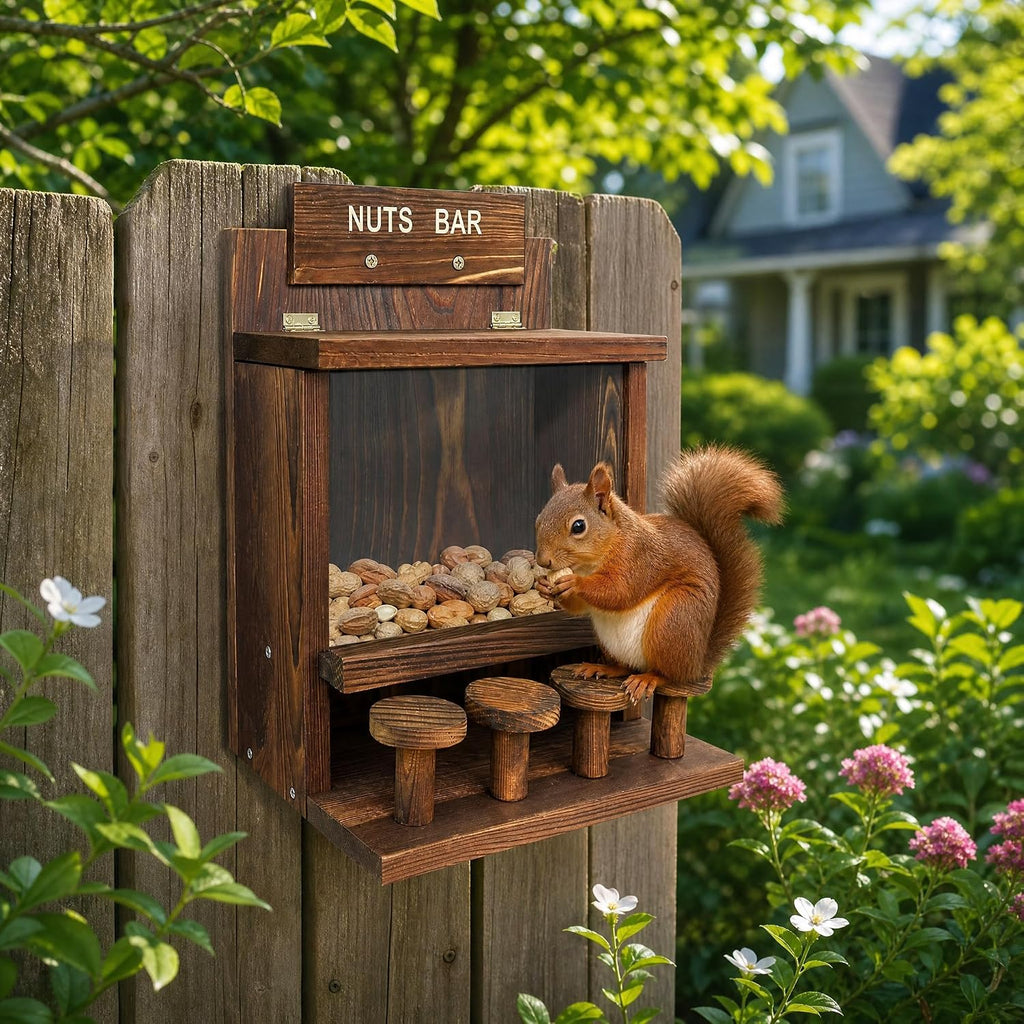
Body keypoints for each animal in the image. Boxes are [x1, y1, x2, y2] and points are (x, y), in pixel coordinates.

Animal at [535, 445, 784, 702]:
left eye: (578, 526)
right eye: (538, 520)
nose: (543, 560)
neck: (592, 562)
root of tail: (697, 664)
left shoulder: (639, 559)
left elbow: (620, 591)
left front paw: (574, 583)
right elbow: (580, 607)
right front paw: (545, 587)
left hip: (674, 619)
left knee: (669, 674)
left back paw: (648, 679)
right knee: (624, 667)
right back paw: (603, 668)